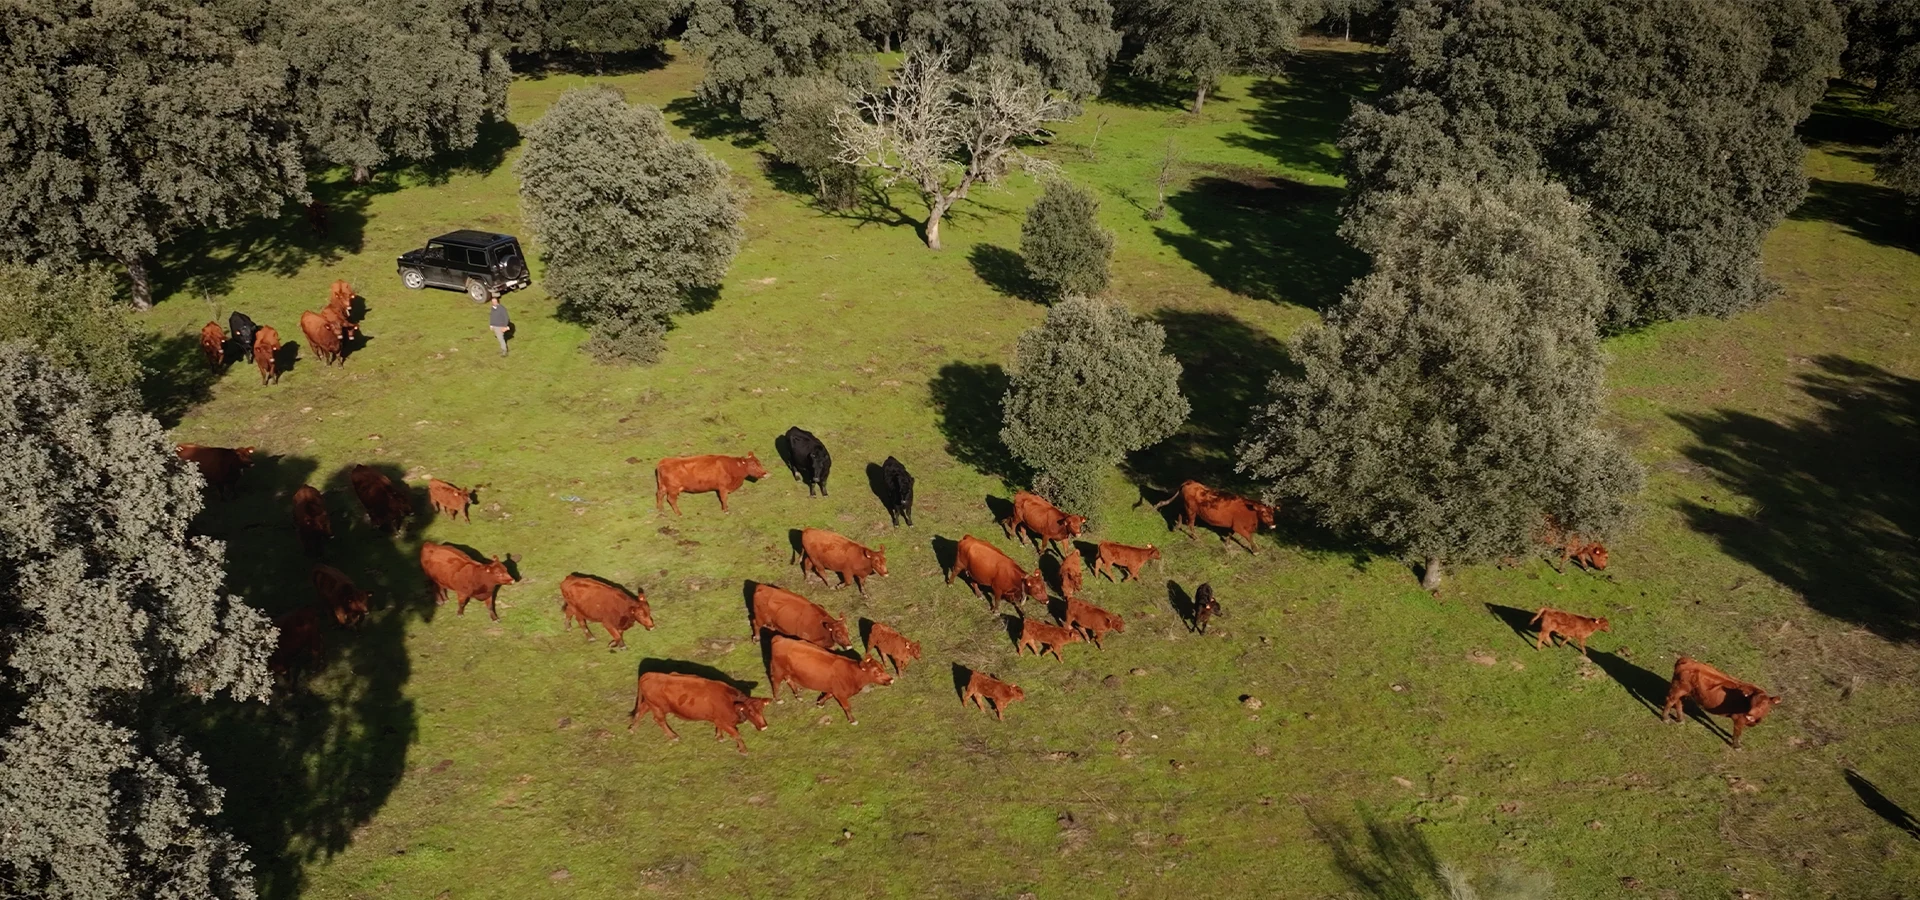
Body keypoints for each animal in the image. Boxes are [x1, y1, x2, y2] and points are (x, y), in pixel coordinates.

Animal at [629, 671, 771, 754]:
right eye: (750, 711)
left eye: (762, 709)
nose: (764, 726)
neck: (731, 702)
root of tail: (649, 675)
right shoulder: (726, 722)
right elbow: (737, 735)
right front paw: (743, 750)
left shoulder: (718, 719)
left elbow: (719, 727)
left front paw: (719, 737)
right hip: (658, 707)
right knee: (660, 720)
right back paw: (673, 736)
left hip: (651, 704)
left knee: (641, 710)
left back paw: (633, 728)